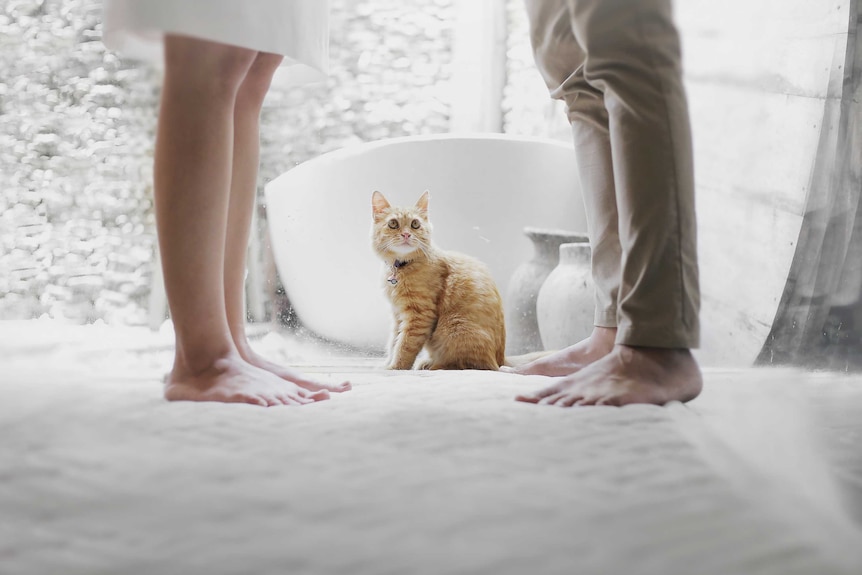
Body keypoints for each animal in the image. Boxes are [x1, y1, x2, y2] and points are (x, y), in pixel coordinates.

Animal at [370, 191, 506, 372]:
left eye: (415, 224)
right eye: (393, 223)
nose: (406, 234)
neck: (401, 267)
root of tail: (501, 360)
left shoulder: (419, 315)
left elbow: (404, 345)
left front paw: (395, 367)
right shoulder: (397, 314)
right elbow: (394, 342)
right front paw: (388, 363)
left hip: (455, 328)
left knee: (463, 364)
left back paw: (432, 365)